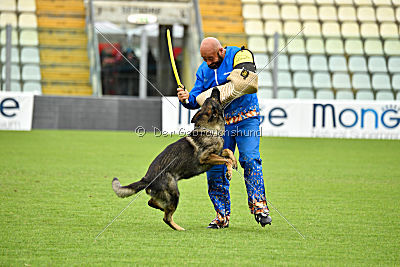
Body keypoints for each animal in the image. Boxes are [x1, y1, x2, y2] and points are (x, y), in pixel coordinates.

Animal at [111, 89, 238, 231]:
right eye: (213, 98)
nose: (215, 88)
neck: (210, 130)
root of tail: (147, 179)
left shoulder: (217, 153)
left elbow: (228, 152)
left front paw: (234, 163)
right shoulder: (206, 157)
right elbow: (226, 160)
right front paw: (229, 172)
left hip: (167, 195)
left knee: (152, 202)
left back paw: (161, 208)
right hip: (174, 193)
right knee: (166, 217)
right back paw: (179, 228)